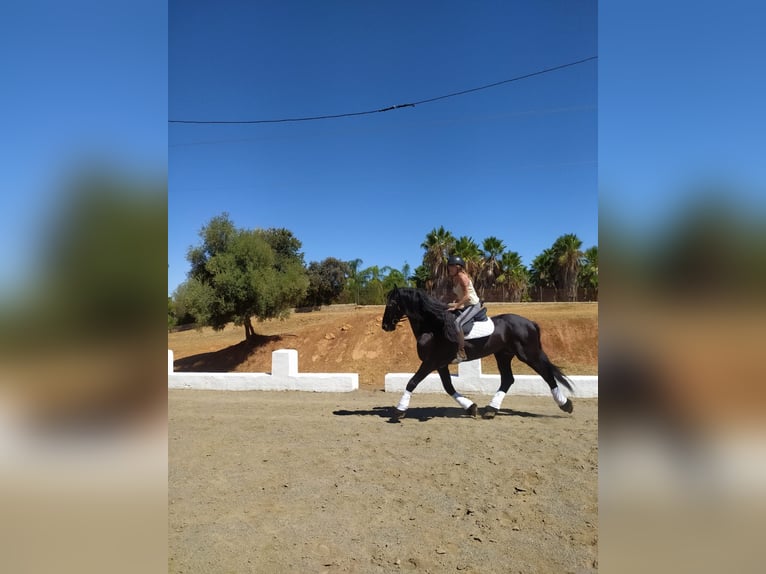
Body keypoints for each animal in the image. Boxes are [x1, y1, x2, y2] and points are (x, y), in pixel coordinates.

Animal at [381, 287, 574, 419]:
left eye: (391, 304)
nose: (385, 326)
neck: (433, 328)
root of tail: (530, 323)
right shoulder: (441, 364)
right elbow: (448, 387)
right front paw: (470, 407)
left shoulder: (430, 362)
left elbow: (412, 382)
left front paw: (399, 410)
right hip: (503, 355)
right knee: (508, 379)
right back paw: (491, 409)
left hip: (528, 354)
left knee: (547, 374)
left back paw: (565, 404)